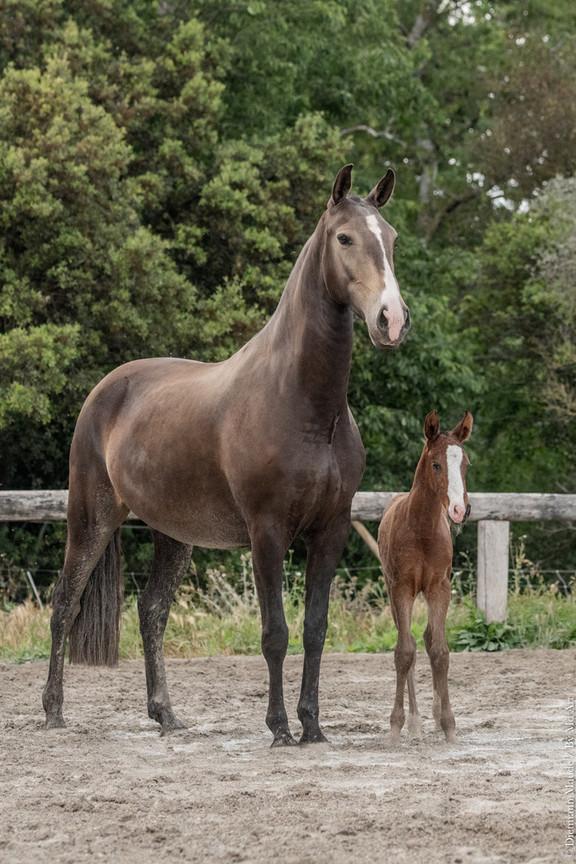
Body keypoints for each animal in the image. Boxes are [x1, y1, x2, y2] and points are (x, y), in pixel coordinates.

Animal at [42, 164, 411, 745]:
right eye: (344, 238)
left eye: (391, 239)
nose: (390, 320)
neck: (302, 404)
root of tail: (107, 388)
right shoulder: (267, 531)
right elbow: (275, 632)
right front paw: (280, 728)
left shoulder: (330, 529)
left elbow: (315, 629)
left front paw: (313, 727)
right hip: (91, 517)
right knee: (65, 604)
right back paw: (54, 711)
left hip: (173, 533)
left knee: (151, 612)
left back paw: (166, 715)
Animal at [377, 410, 473, 744]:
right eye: (436, 464)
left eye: (465, 464)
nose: (459, 510)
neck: (421, 530)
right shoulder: (402, 587)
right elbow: (404, 652)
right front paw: (395, 727)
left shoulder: (439, 587)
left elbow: (440, 650)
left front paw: (449, 726)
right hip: (392, 590)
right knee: (408, 644)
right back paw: (415, 720)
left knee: (429, 640)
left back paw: (433, 713)